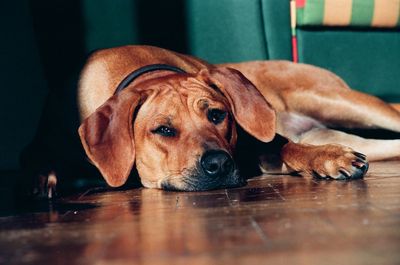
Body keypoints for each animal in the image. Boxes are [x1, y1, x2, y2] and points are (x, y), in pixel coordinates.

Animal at [73, 44, 398, 191]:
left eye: (217, 115)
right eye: (163, 129)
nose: (218, 163)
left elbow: (287, 146)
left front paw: (327, 157)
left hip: (334, 101)